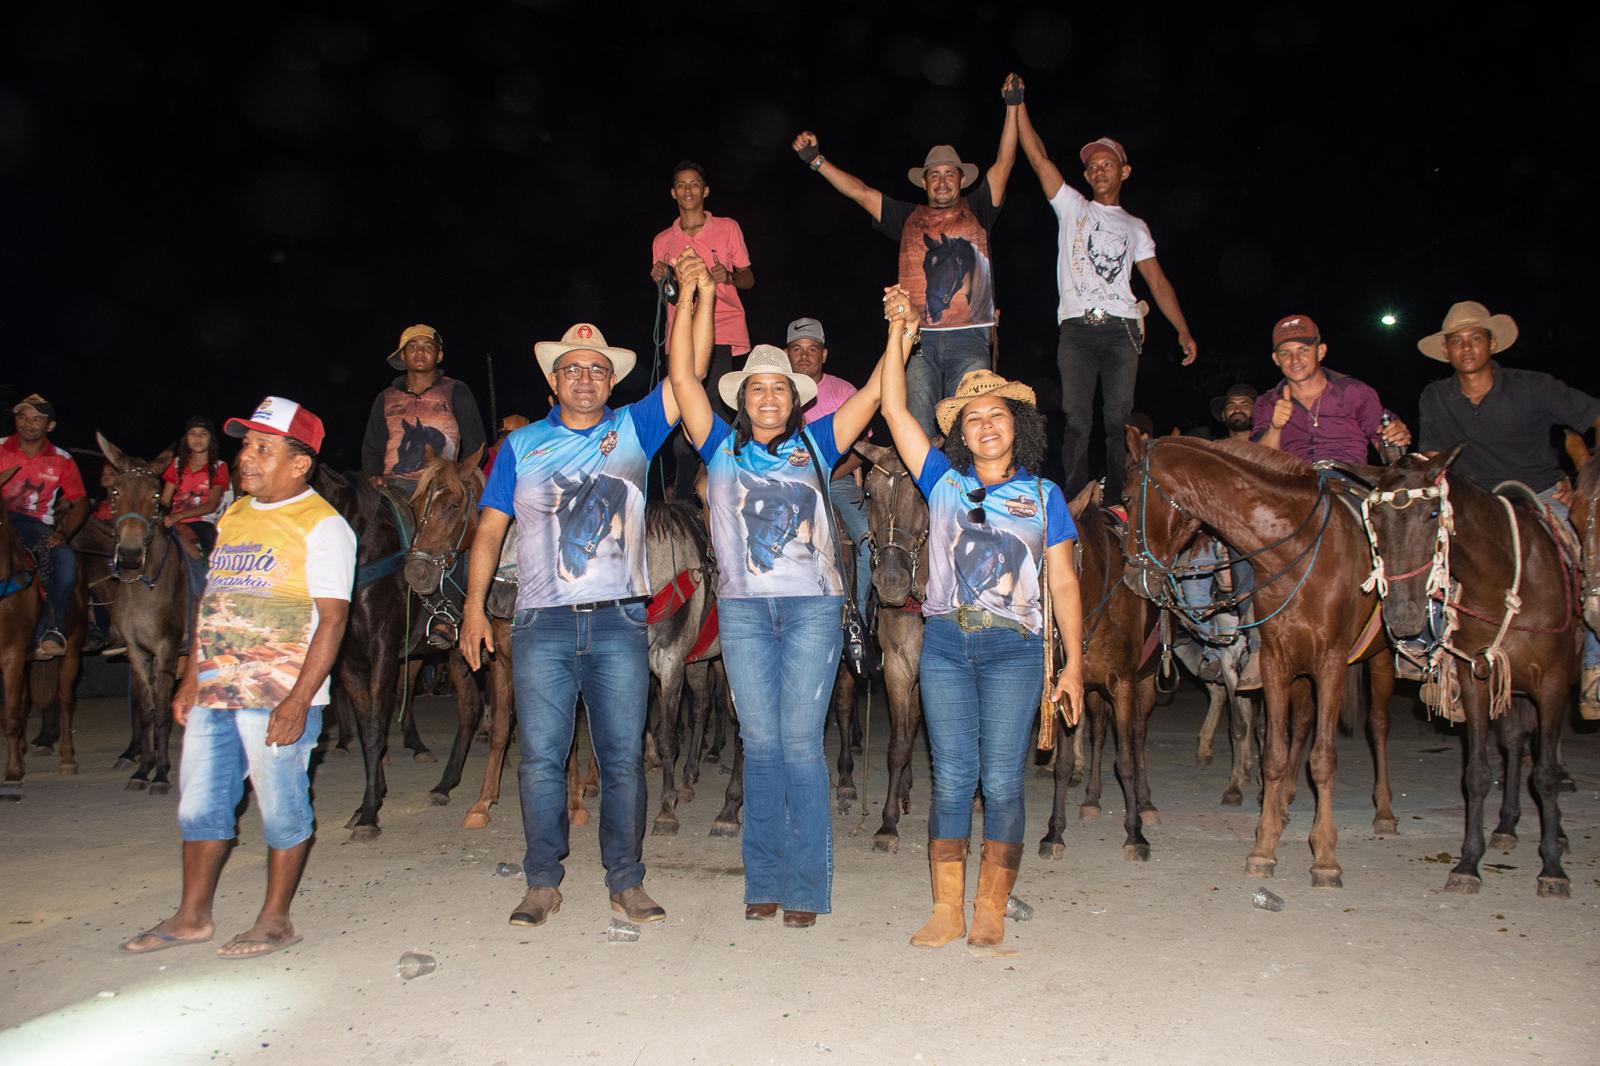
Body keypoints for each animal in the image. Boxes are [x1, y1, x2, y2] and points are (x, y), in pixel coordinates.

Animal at [1120, 432, 1395, 889]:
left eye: (1126, 495)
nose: (1129, 578)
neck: (1296, 550)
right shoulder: (1273, 661)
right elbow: (1268, 746)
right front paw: (1263, 843)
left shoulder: (1330, 663)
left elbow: (1322, 758)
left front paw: (1325, 858)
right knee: (1295, 725)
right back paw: (1280, 802)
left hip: (1380, 658)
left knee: (1377, 726)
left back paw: (1385, 812)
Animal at [1363, 448, 1574, 896]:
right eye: (1376, 520)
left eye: (1432, 514)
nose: (1402, 617)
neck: (1504, 581)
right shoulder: (1475, 674)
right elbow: (1477, 772)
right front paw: (1467, 864)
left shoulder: (1551, 684)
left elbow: (1546, 774)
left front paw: (1552, 868)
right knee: (1512, 742)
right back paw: (1507, 826)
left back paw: (1557, 836)